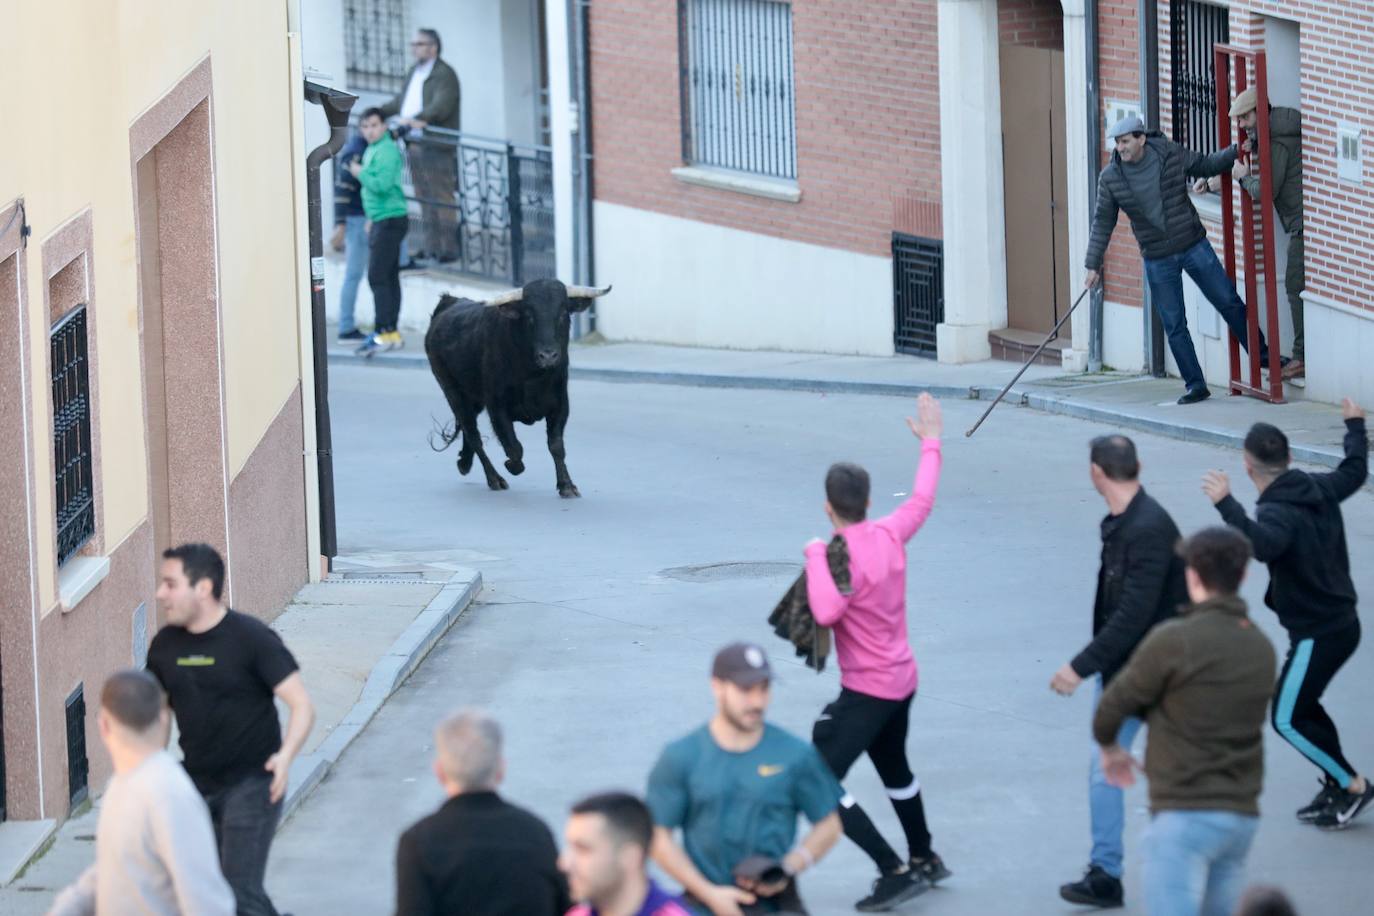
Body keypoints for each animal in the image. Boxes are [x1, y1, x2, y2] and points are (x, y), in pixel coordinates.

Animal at [420, 277, 610, 497]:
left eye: (563, 313)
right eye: (529, 314)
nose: (548, 356)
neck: (533, 376)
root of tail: (448, 302)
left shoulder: (560, 405)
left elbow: (556, 445)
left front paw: (567, 486)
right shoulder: (497, 407)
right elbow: (514, 448)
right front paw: (511, 466)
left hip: (473, 398)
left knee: (469, 431)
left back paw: (464, 463)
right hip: (453, 392)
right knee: (473, 434)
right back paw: (494, 479)